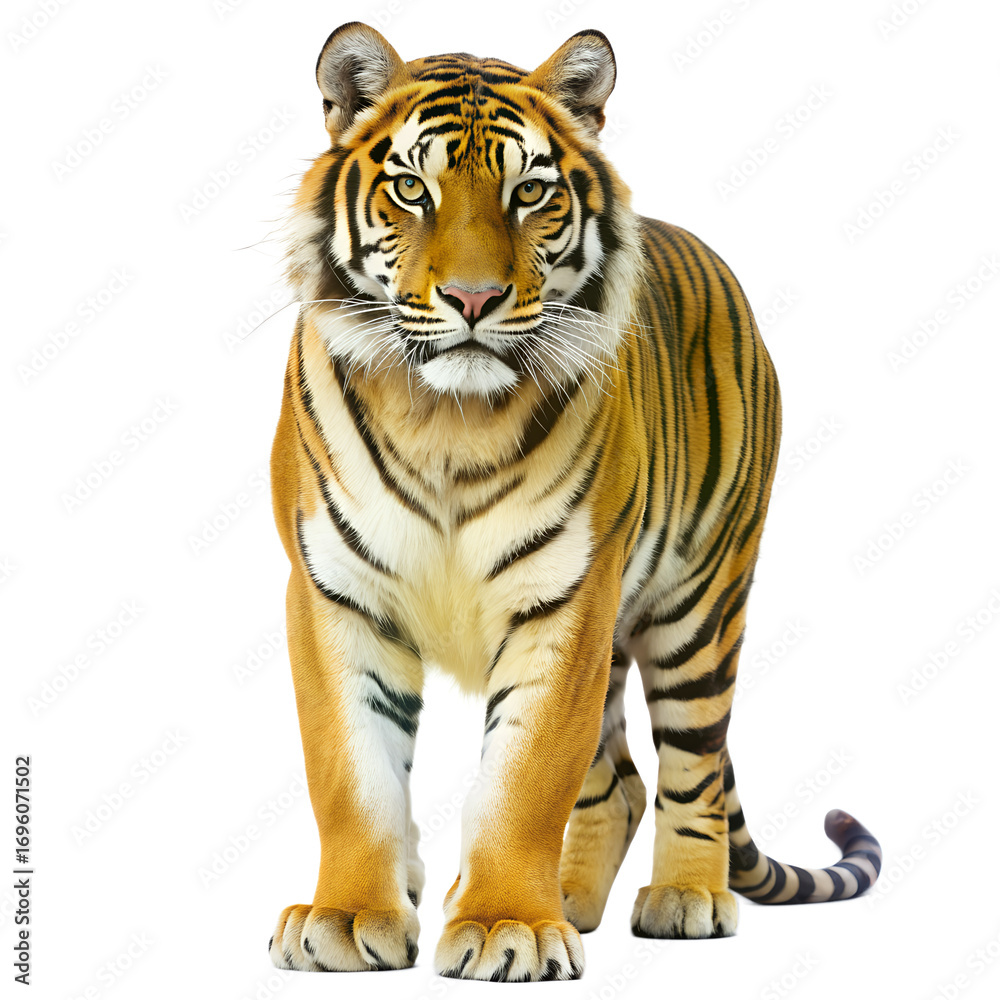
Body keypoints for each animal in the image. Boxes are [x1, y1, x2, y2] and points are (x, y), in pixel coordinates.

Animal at [265, 21, 883, 982]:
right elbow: (351, 772)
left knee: (692, 767)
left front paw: (504, 926)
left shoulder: (568, 602)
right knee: (619, 781)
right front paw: (349, 916)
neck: (447, 419)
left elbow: (523, 783)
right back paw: (569, 901)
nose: (473, 298)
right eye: (411, 189)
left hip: (700, 607)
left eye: (529, 193)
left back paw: (683, 899)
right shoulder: (334, 593)